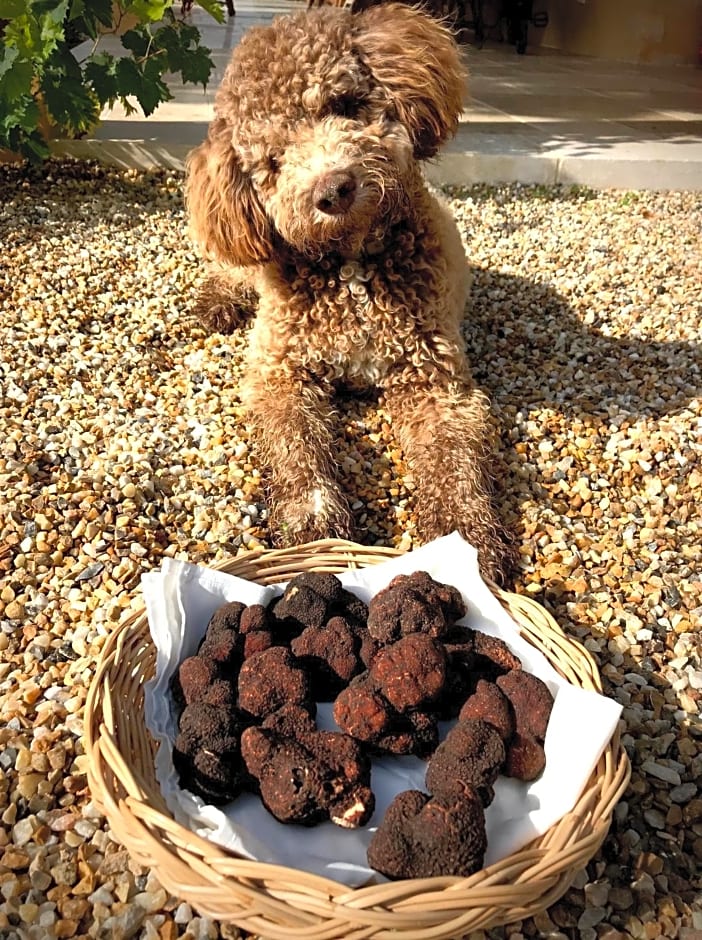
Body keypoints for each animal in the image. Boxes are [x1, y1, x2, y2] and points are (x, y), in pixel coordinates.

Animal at [184, 1, 508, 580]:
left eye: (346, 105)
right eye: (272, 160)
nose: (333, 189)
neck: (353, 265)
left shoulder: (436, 383)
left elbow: (452, 463)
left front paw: (465, 541)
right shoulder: (280, 371)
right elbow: (297, 447)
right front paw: (313, 524)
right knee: (231, 270)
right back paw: (216, 301)